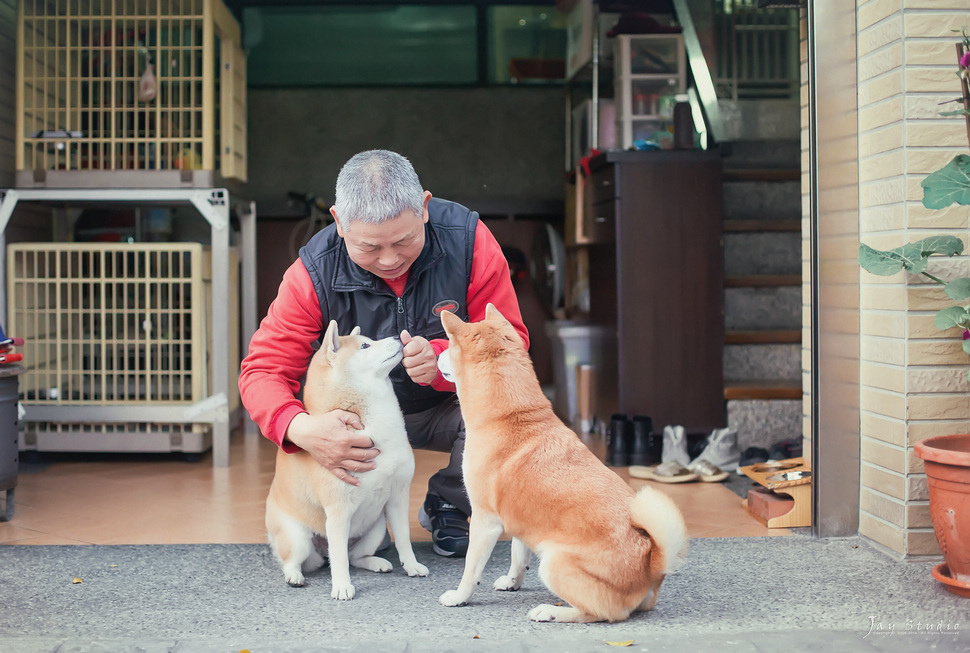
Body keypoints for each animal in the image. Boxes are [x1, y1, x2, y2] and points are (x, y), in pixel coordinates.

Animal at [266, 318, 430, 600]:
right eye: (365, 345)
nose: (397, 337)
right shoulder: (338, 510)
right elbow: (339, 558)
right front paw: (342, 586)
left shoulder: (398, 497)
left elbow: (404, 539)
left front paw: (411, 566)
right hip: (298, 539)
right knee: (299, 560)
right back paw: (294, 575)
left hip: (376, 528)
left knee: (355, 556)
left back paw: (376, 562)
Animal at [434, 306, 684, 620]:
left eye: (449, 344)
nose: (435, 355)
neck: (511, 419)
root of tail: (650, 563)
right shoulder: (522, 519)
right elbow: (518, 556)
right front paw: (512, 582)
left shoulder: (484, 520)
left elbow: (470, 569)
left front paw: (460, 597)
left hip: (553, 563)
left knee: (598, 613)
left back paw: (551, 612)